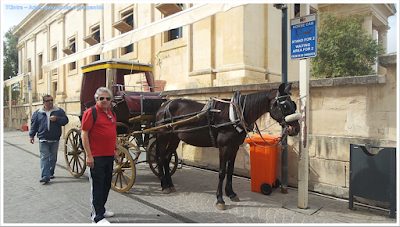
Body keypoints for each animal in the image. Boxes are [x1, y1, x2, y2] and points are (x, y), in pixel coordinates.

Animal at [153, 82, 300, 210]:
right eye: (285, 106)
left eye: (293, 104)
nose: (296, 129)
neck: (235, 114)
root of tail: (165, 105)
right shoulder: (224, 147)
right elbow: (222, 172)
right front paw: (220, 199)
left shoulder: (234, 147)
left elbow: (230, 171)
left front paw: (231, 193)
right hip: (163, 136)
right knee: (160, 158)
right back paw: (164, 185)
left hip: (174, 138)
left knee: (166, 158)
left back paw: (170, 184)